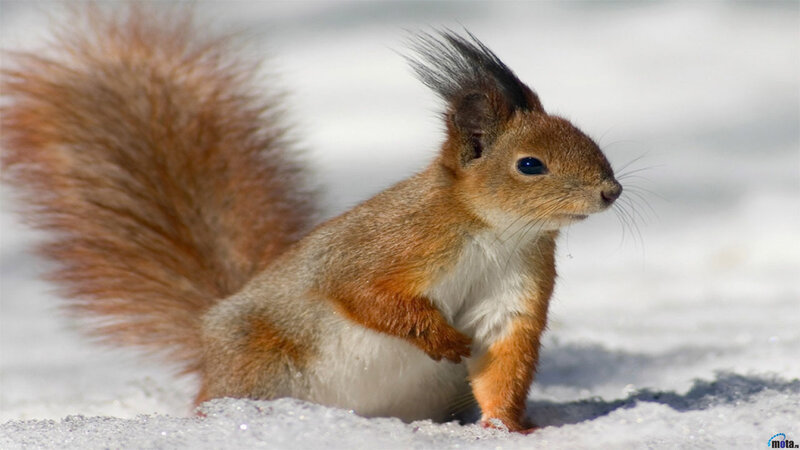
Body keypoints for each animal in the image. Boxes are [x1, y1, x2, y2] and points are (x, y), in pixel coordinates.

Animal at [1, 5, 622, 433]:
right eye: (530, 165)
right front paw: (439, 337)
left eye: (588, 138)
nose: (610, 191)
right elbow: (362, 292)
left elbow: (502, 357)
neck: (495, 233)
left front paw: (506, 427)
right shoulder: (389, 244)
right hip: (259, 367)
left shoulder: (516, 287)